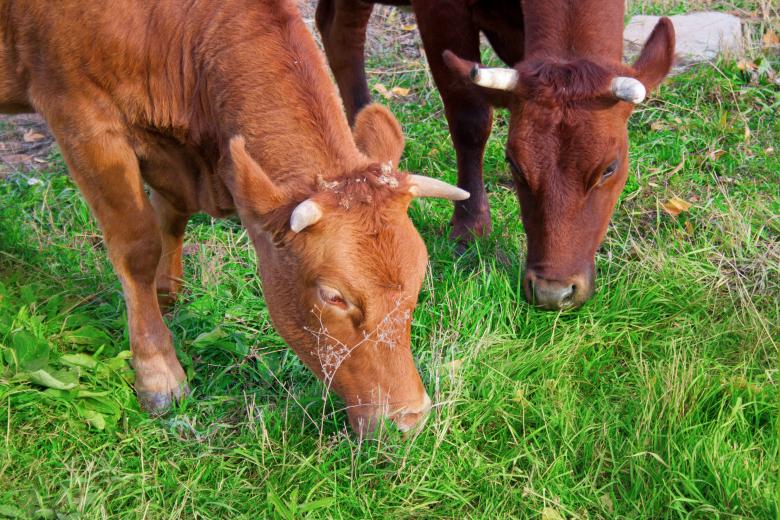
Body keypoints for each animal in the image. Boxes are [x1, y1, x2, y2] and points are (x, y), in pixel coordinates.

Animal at [0, 0, 470, 436]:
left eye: (418, 279)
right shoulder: (80, 117)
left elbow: (170, 218)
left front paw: (164, 298)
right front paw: (157, 371)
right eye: (333, 296)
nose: (410, 418)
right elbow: (137, 247)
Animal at [316, 0, 675, 309]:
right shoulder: (440, 11)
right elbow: (469, 118)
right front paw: (469, 224)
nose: (553, 293)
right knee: (343, 31)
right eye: (514, 165)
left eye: (609, 168)